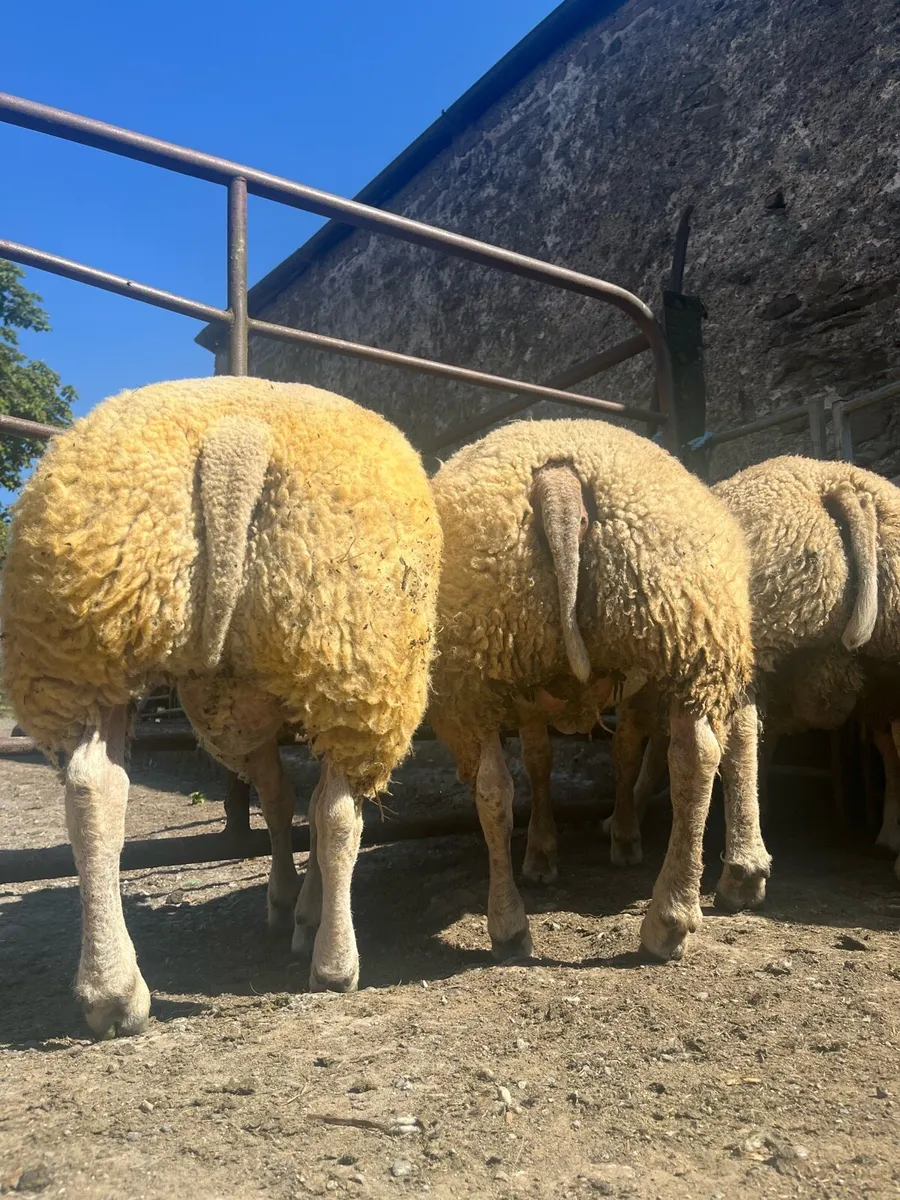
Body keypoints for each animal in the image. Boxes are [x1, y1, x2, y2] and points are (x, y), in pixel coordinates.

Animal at [1, 376, 441, 1035]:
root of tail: (236, 439)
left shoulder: (254, 713)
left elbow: (282, 802)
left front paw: (294, 903)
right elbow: (299, 807)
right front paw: (300, 908)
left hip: (94, 645)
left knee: (93, 790)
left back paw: (113, 993)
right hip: (356, 655)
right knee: (339, 812)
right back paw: (335, 965)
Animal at [427, 417, 770, 964]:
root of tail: (559, 484)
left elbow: (586, 756)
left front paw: (579, 845)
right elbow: (569, 757)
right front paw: (584, 843)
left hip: (484, 668)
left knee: (493, 789)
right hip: (685, 631)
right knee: (698, 756)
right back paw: (673, 916)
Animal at [605, 456, 900, 884]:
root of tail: (843, 486)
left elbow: (633, 753)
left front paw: (623, 824)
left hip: (759, 637)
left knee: (741, 736)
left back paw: (741, 868)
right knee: (891, 747)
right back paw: (891, 843)